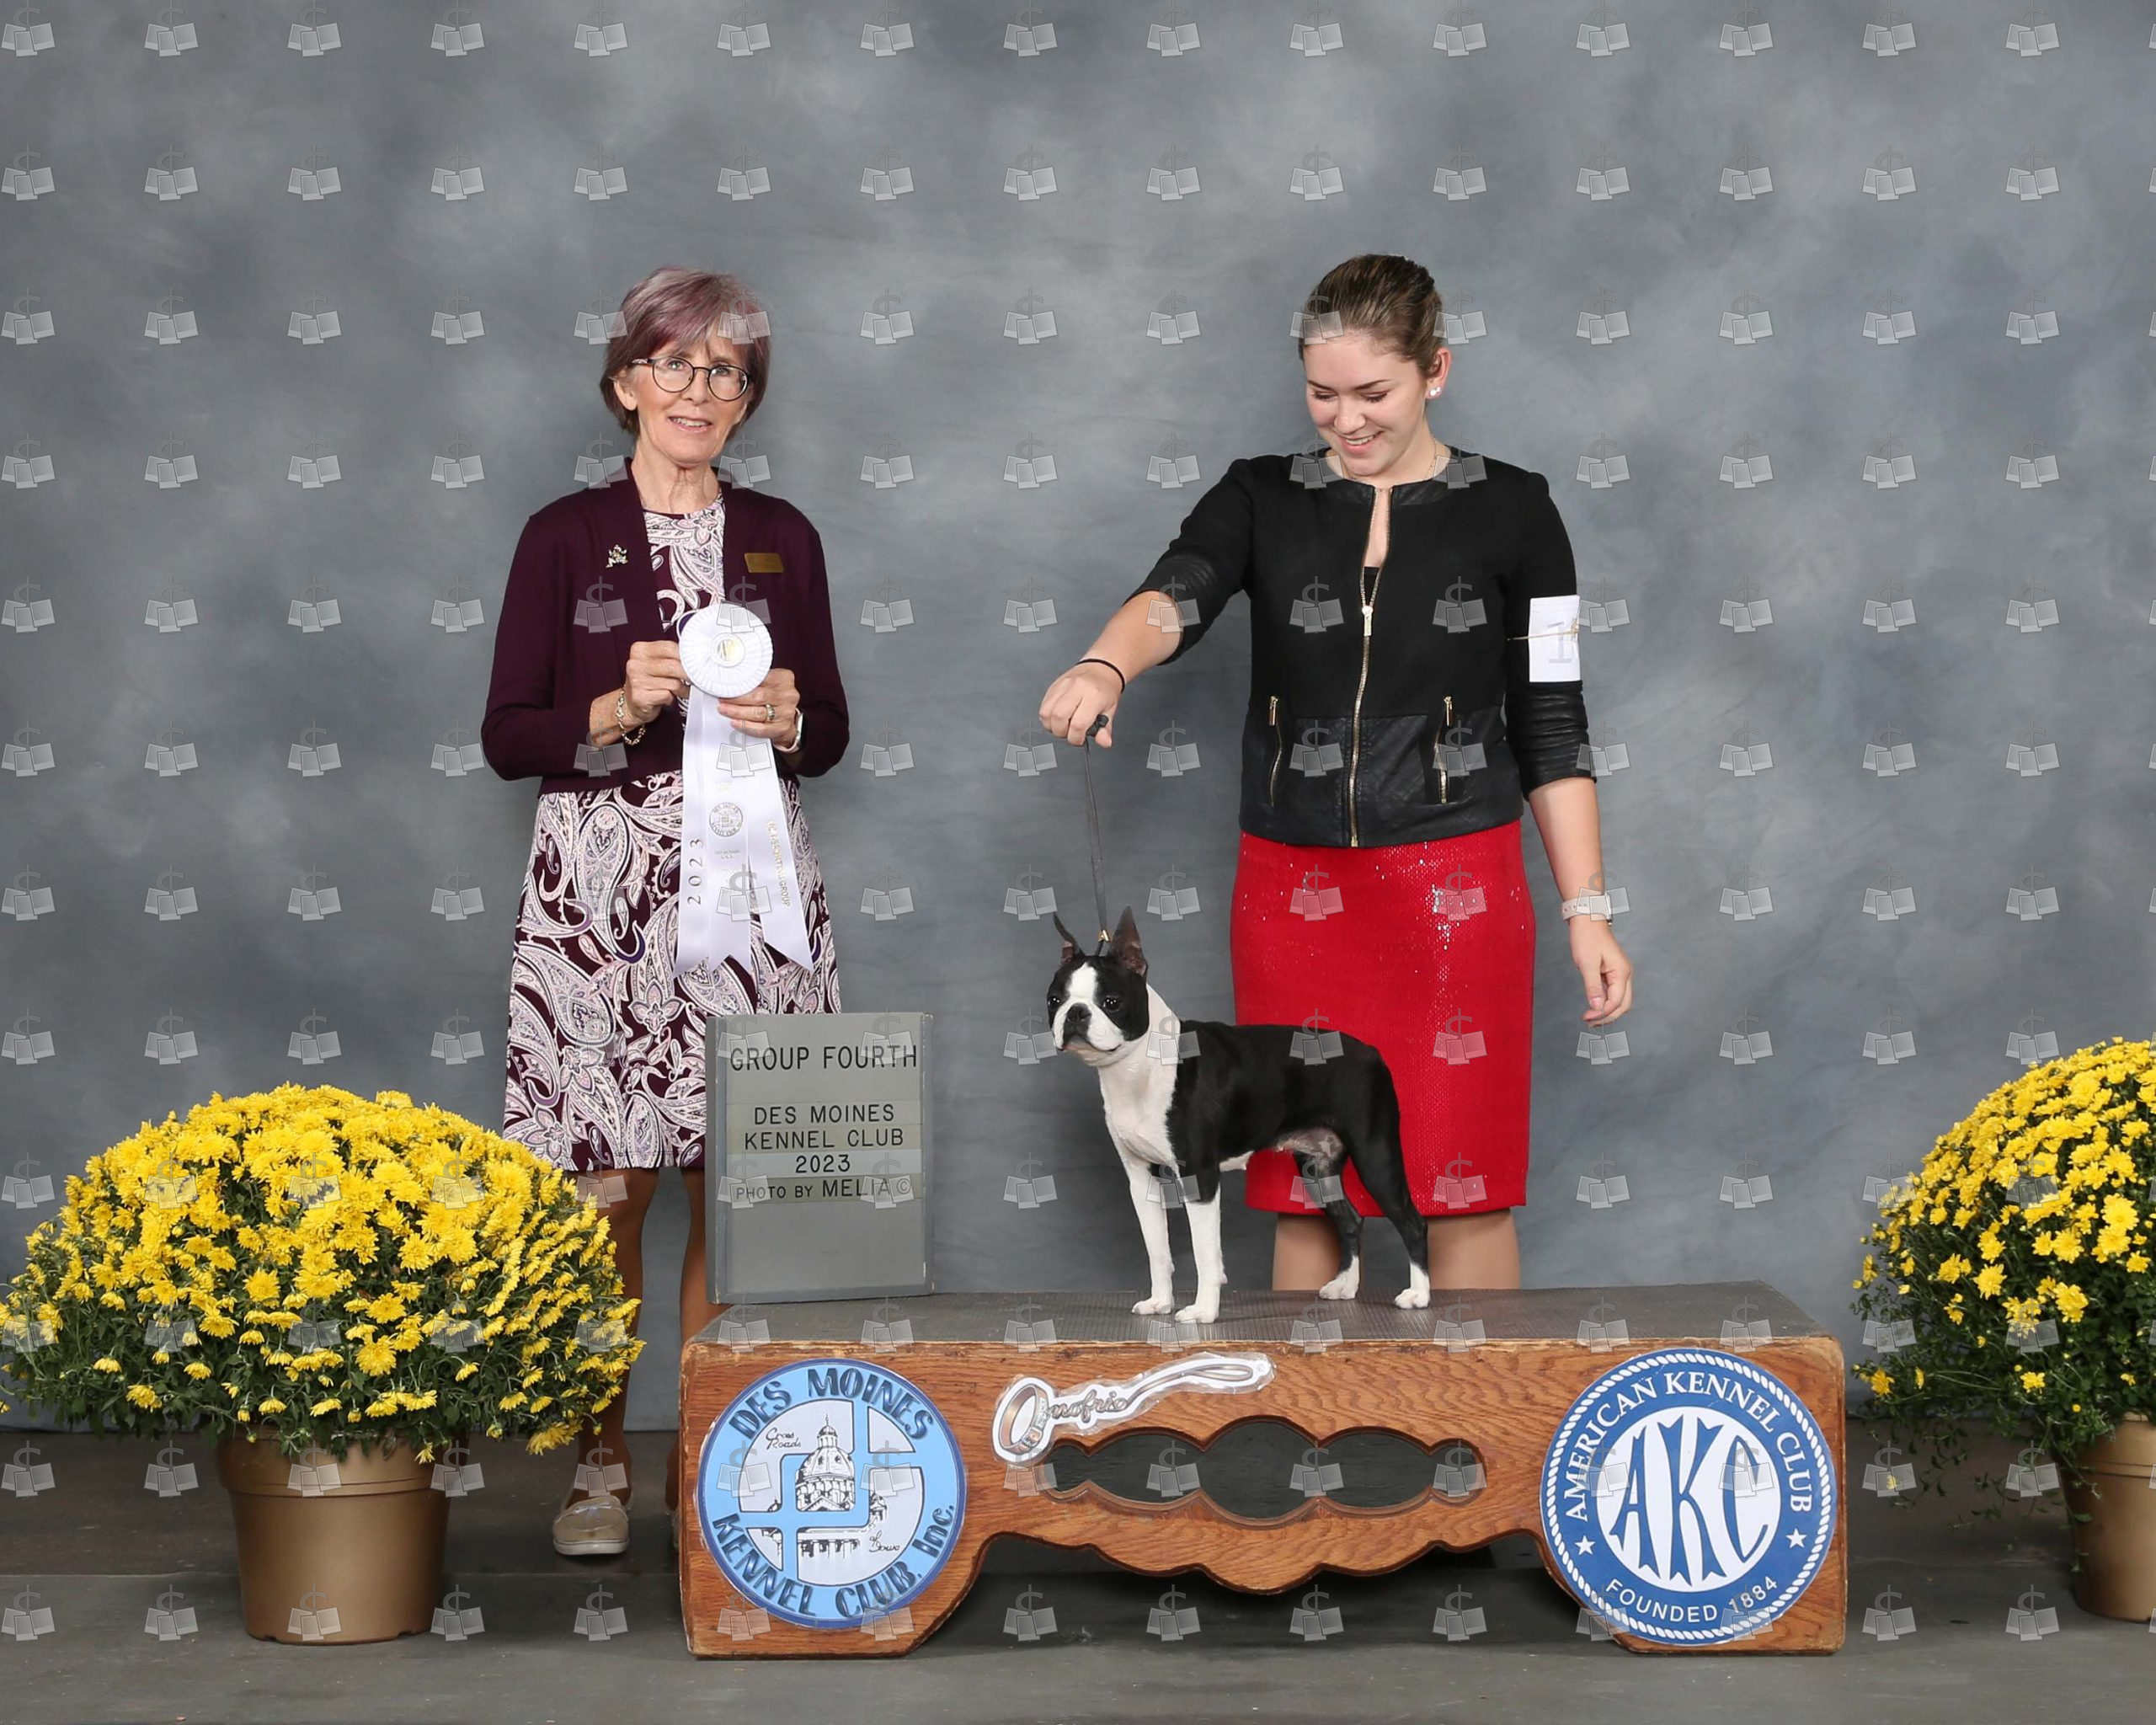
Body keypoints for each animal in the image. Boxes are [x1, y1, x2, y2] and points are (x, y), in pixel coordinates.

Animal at [1048, 907, 1432, 1325]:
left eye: (1111, 1002)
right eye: (1054, 1000)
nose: (1075, 1013)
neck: (1138, 1068)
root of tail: (1372, 1052)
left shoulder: (1199, 1177)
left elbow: (1205, 1254)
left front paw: (1203, 1310)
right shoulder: (1140, 1178)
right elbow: (1158, 1251)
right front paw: (1160, 1302)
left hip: (1375, 1154)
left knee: (1412, 1221)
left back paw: (1418, 1295)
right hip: (1318, 1168)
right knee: (1350, 1219)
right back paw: (1345, 1287)